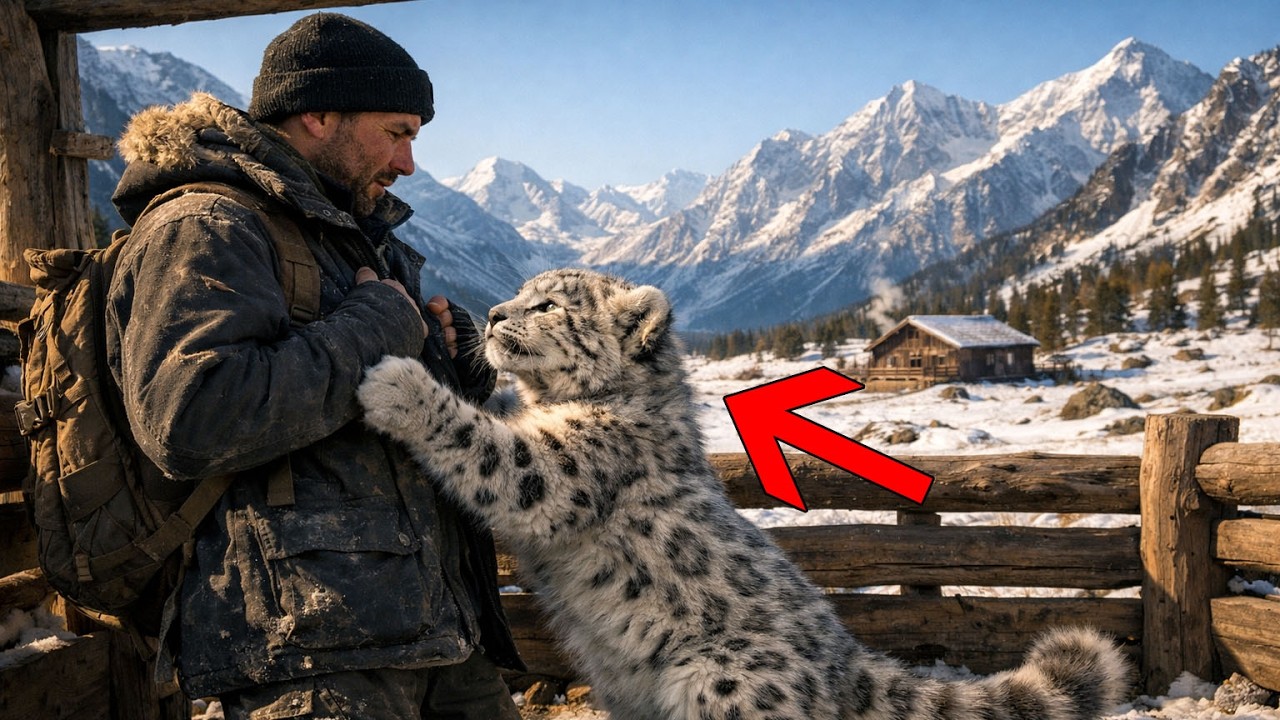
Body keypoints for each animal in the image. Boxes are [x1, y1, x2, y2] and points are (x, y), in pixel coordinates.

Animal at [358, 268, 1129, 720]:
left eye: (547, 303)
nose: (489, 314)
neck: (557, 403)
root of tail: (844, 662)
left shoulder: (565, 467)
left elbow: (494, 452)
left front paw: (395, 384)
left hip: (726, 686)